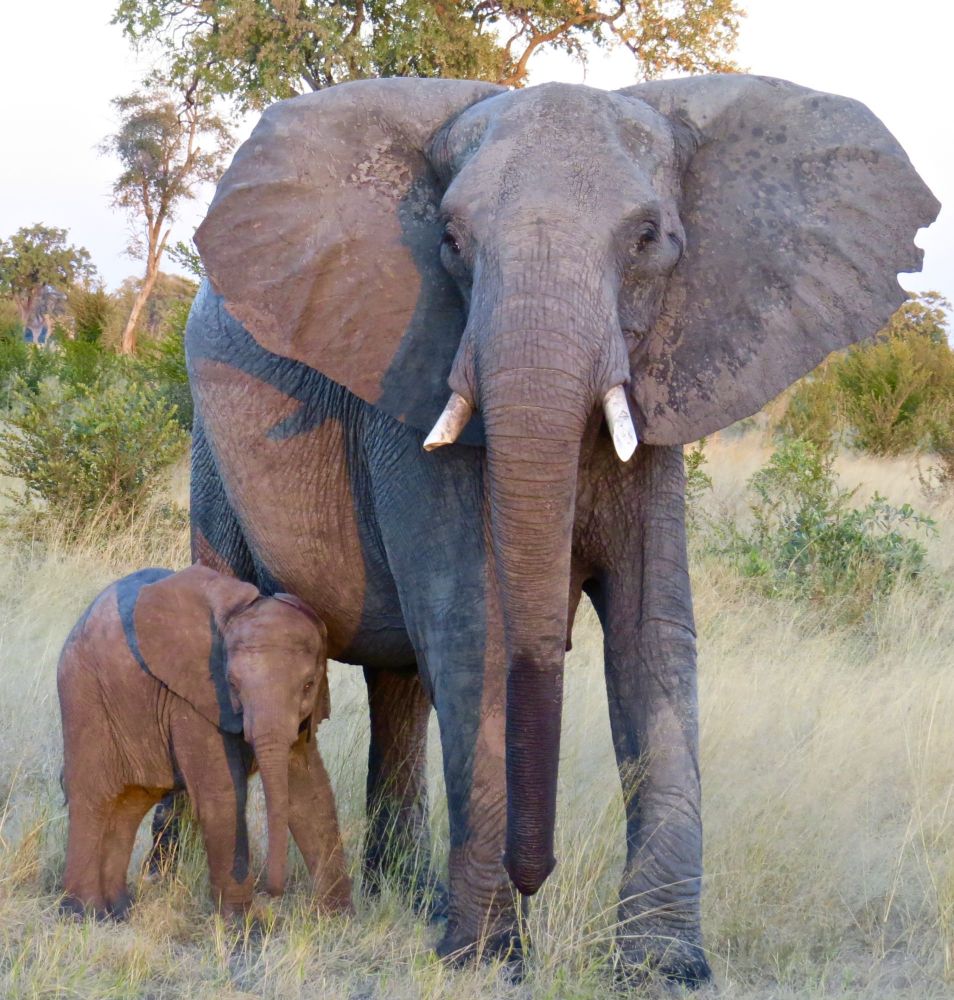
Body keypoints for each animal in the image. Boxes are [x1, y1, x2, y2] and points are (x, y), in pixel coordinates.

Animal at [58, 564, 351, 918]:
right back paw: (84, 912)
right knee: (94, 796)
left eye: (309, 684)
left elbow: (309, 793)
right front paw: (244, 926)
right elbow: (223, 795)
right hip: (83, 693)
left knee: (131, 801)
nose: (273, 893)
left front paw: (338, 918)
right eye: (232, 684)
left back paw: (119, 910)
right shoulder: (193, 700)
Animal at [181, 74, 938, 981]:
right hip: (209, 445)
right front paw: (486, 958)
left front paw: (663, 968)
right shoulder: (411, 395)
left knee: (400, 684)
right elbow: (475, 630)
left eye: (649, 238)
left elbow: (653, 634)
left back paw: (407, 898)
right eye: (450, 240)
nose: (535, 875)